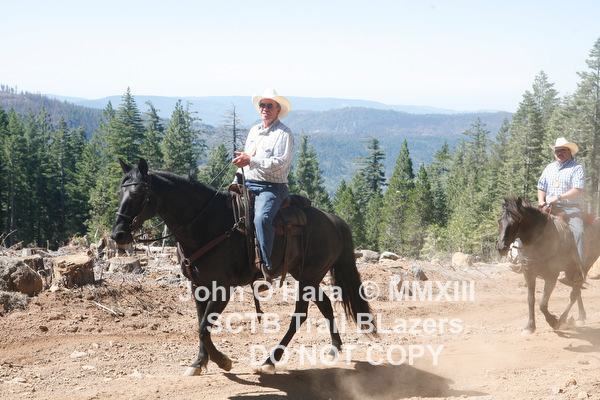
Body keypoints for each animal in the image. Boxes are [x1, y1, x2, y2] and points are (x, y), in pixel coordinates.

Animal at [110, 158, 374, 375]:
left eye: (136, 194)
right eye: (119, 192)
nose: (118, 235)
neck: (207, 223)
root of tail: (333, 220)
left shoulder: (223, 288)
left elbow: (204, 328)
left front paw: (222, 361)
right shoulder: (197, 286)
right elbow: (201, 323)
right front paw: (199, 363)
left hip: (309, 277)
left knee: (300, 314)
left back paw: (270, 360)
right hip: (307, 276)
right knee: (326, 304)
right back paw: (335, 348)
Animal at [496, 197, 600, 334]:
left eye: (515, 221)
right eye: (500, 220)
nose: (501, 247)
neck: (539, 240)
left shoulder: (551, 275)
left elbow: (543, 303)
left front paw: (553, 322)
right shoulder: (528, 273)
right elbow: (531, 299)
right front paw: (530, 326)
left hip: (583, 268)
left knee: (575, 293)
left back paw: (563, 319)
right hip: (569, 271)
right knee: (576, 291)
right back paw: (580, 317)